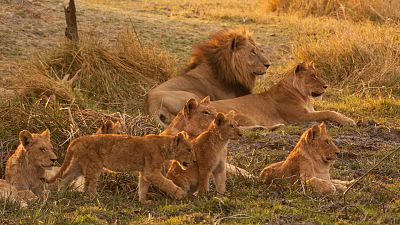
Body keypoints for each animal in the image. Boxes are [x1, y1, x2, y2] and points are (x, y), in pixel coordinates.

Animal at [47, 132, 195, 204]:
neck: (165, 147)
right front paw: (180, 193)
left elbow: (143, 187)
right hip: (94, 166)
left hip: (78, 165)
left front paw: (143, 201)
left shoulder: (145, 172)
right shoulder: (151, 172)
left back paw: (61, 195)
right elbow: (166, 183)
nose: (194, 161)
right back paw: (96, 198)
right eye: (188, 149)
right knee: (90, 186)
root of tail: (76, 140)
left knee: (65, 178)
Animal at [208, 62, 354, 127]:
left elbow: (330, 111)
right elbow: (328, 112)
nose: (326, 86)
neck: (305, 97)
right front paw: (349, 121)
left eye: (318, 74)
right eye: (313, 76)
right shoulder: (299, 117)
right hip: (240, 115)